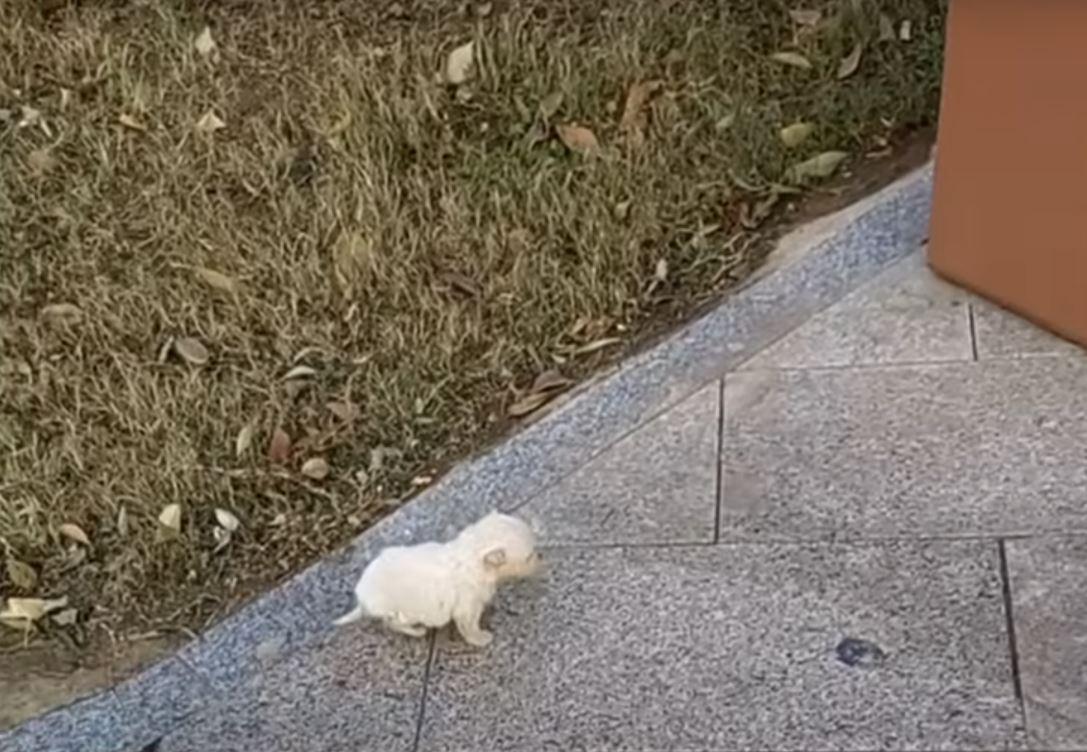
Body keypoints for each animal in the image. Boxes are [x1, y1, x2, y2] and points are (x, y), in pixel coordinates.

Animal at [328, 510, 536, 647]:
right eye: (529, 557)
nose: (540, 558)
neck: (471, 554)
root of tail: (362, 598)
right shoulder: (466, 607)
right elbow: (469, 627)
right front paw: (480, 638)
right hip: (400, 612)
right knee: (394, 624)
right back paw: (417, 631)